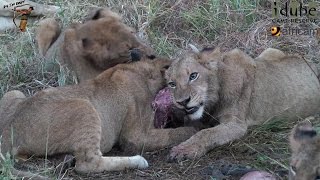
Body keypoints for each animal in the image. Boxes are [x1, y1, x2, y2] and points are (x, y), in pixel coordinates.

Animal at [0, 57, 195, 177]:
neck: (139, 69)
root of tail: (7, 133)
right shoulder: (135, 137)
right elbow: (170, 134)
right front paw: (193, 130)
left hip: (14, 93)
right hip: (84, 107)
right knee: (87, 164)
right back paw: (138, 161)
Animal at [165, 47, 320, 160]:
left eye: (193, 76)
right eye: (172, 84)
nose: (182, 102)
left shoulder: (236, 124)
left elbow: (207, 133)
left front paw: (184, 149)